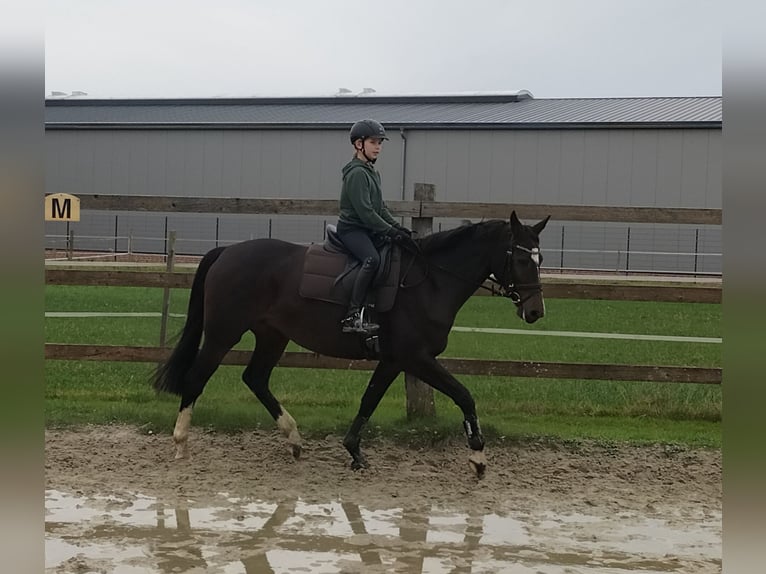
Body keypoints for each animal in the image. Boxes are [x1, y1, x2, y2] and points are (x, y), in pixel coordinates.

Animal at [152, 211, 550, 477]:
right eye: (519, 257)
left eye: (540, 258)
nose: (535, 311)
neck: (430, 282)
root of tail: (228, 252)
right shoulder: (416, 358)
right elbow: (465, 396)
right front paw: (478, 459)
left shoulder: (394, 360)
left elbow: (369, 400)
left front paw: (354, 452)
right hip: (223, 333)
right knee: (197, 378)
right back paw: (181, 443)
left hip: (272, 335)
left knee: (256, 379)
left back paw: (294, 440)